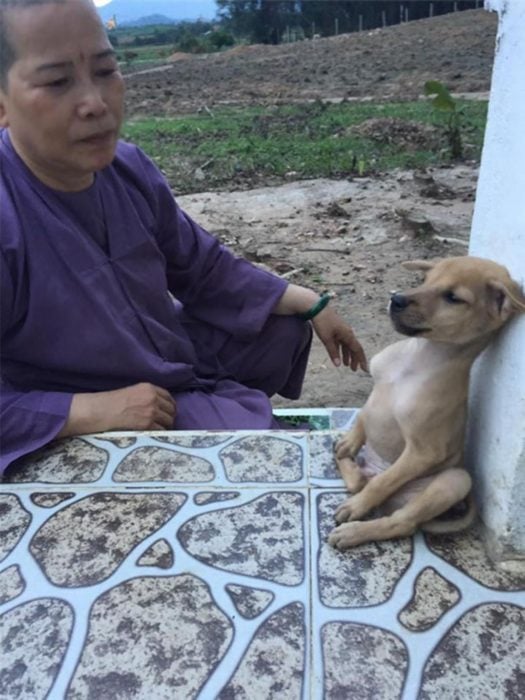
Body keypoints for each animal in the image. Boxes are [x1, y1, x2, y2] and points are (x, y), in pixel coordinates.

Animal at [328, 254, 524, 548]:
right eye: (426, 280)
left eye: (453, 298)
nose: (396, 299)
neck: (417, 357)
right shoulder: (375, 393)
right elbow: (363, 415)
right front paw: (349, 442)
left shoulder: (423, 452)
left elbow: (384, 482)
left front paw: (357, 507)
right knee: (360, 481)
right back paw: (346, 460)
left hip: (455, 480)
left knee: (399, 517)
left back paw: (354, 530)